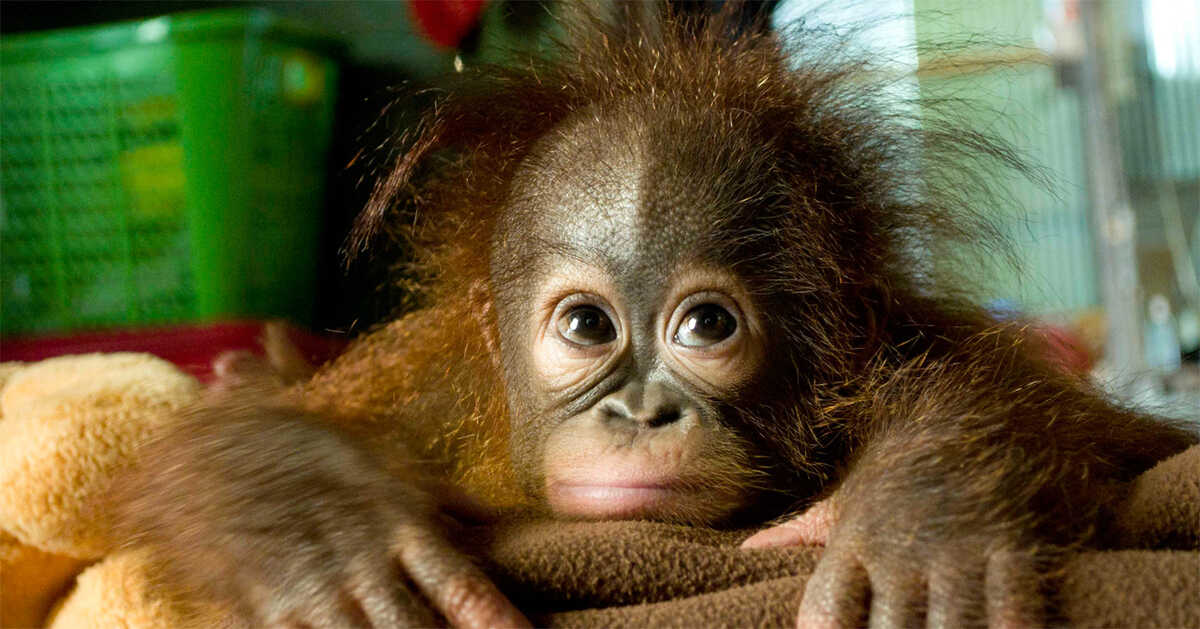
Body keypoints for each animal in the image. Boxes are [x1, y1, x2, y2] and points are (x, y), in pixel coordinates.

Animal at [112, 6, 1198, 629]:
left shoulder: (900, 339)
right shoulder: (437, 390)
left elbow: (1120, 440)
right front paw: (325, 541)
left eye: (707, 327)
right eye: (588, 328)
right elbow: (248, 438)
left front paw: (920, 521)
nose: (639, 414)